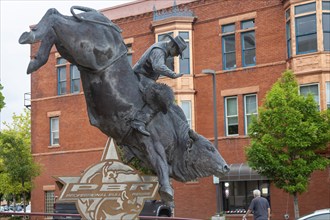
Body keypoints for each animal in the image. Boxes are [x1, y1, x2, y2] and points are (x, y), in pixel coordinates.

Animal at [18, 6, 229, 204]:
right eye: (209, 148)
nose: (226, 167)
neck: (176, 134)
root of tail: (98, 16)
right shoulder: (152, 143)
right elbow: (160, 164)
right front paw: (167, 192)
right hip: (82, 49)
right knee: (55, 17)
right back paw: (30, 39)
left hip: (71, 50)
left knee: (54, 19)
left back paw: (34, 56)